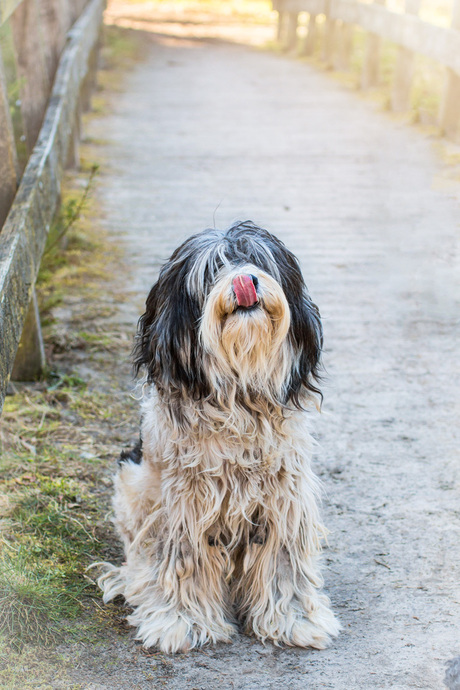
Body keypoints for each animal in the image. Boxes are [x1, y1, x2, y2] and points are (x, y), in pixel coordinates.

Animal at [97, 220, 340, 652]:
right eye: (212, 271)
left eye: (258, 260)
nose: (247, 281)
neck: (239, 398)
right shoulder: (183, 503)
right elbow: (180, 563)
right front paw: (179, 621)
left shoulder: (284, 496)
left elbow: (284, 564)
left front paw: (294, 619)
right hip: (134, 485)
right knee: (141, 559)